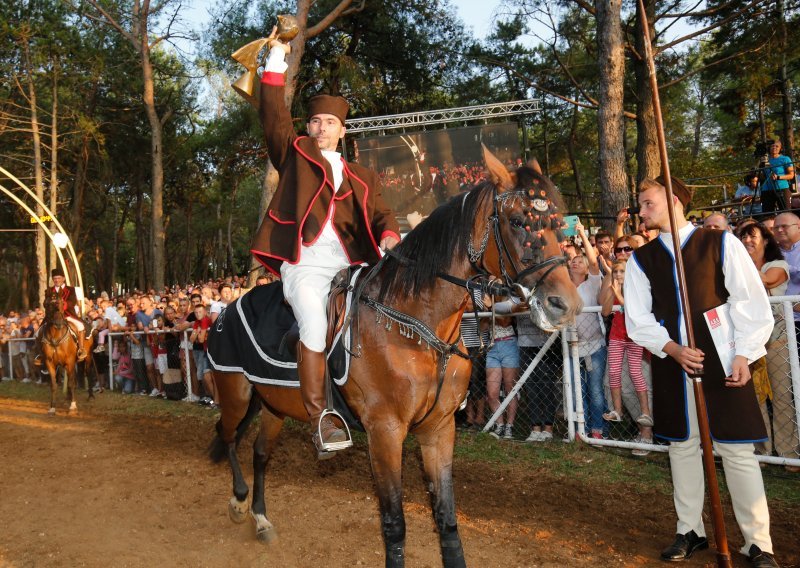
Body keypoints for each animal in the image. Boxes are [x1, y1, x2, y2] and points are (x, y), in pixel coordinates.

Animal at [206, 149, 580, 564]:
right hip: (236, 394)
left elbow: (447, 519)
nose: (565, 305)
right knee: (226, 435)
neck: (418, 326)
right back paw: (239, 502)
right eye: (517, 221)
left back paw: (260, 519)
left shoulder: (439, 429)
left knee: (260, 453)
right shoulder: (385, 431)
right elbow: (394, 524)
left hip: (274, 405)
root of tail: (225, 308)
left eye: (556, 224)